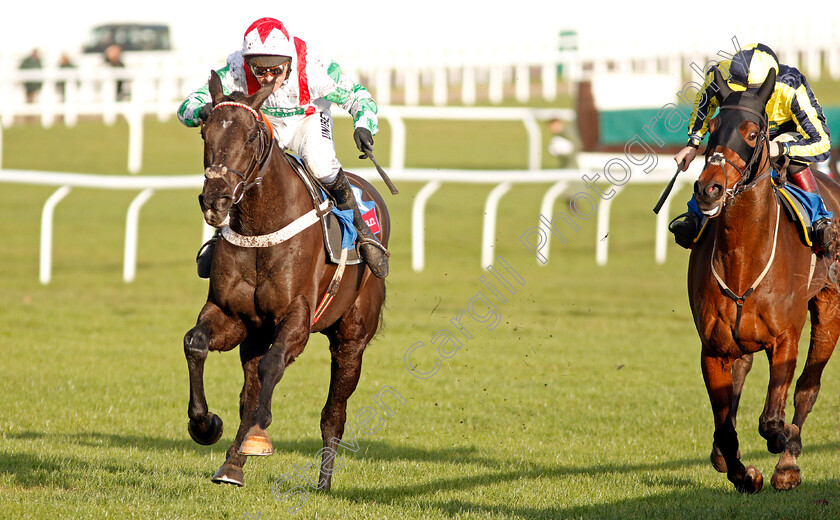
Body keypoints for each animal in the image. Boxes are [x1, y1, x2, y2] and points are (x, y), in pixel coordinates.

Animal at [182, 71, 388, 490]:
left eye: (250, 136)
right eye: (205, 132)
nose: (216, 200)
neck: (261, 227)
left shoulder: (297, 318)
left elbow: (273, 364)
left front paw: (258, 436)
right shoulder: (232, 315)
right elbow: (195, 343)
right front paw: (205, 424)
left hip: (352, 338)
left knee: (334, 412)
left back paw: (323, 484)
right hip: (257, 334)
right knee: (248, 389)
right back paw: (232, 465)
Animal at [688, 67, 840, 494]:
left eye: (754, 132)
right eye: (712, 128)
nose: (709, 189)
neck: (743, 260)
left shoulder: (785, 337)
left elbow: (773, 419)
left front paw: (783, 442)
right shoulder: (713, 349)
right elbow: (725, 430)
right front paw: (743, 473)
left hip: (830, 308)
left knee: (808, 388)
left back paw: (788, 462)